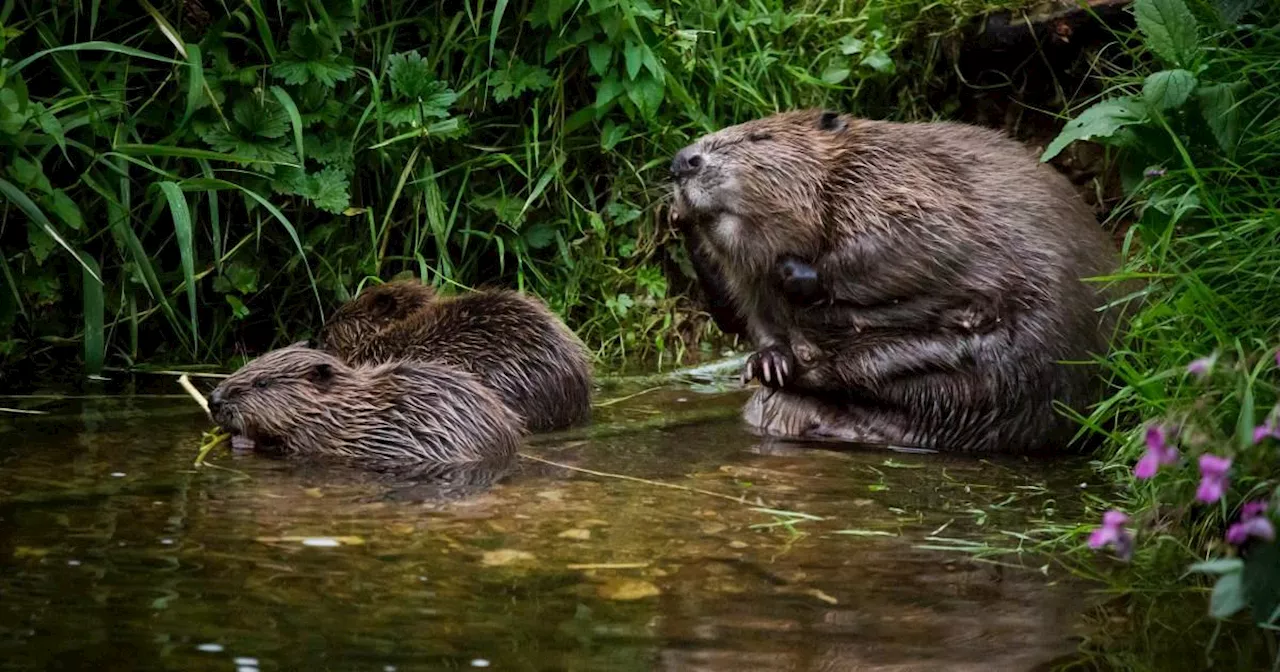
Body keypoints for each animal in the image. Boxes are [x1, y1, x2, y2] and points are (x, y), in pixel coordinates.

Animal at [670, 110, 1131, 453]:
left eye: (759, 137)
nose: (681, 161)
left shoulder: (901, 181)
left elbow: (911, 235)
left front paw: (797, 274)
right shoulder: (748, 281)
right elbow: (752, 317)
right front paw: (769, 361)